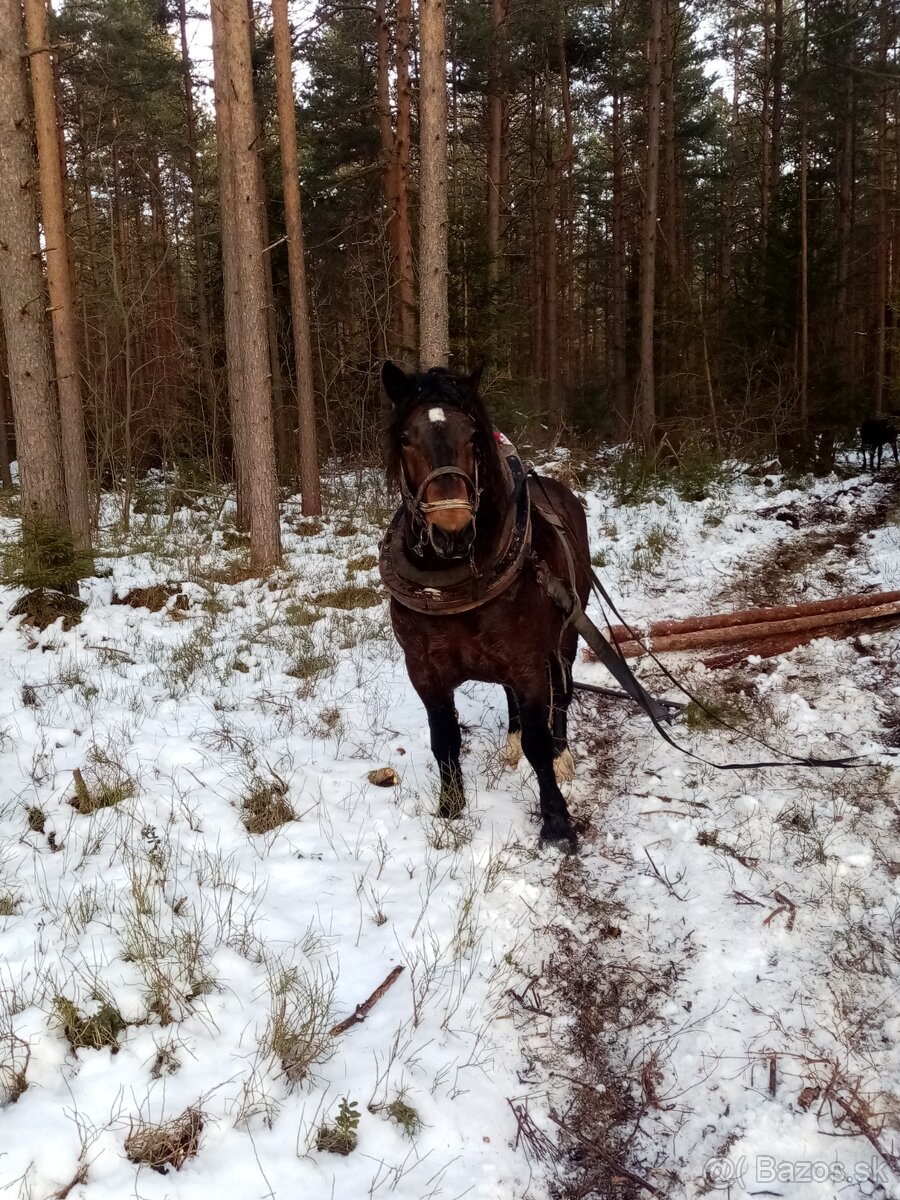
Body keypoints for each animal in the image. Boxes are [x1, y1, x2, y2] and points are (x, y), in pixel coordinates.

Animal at [379, 360, 592, 849]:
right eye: (406, 439)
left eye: (474, 436)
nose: (452, 531)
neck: (451, 584)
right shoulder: (424, 670)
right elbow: (444, 740)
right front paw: (450, 807)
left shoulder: (528, 661)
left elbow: (538, 741)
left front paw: (556, 824)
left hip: (566, 637)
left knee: (563, 693)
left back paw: (563, 754)